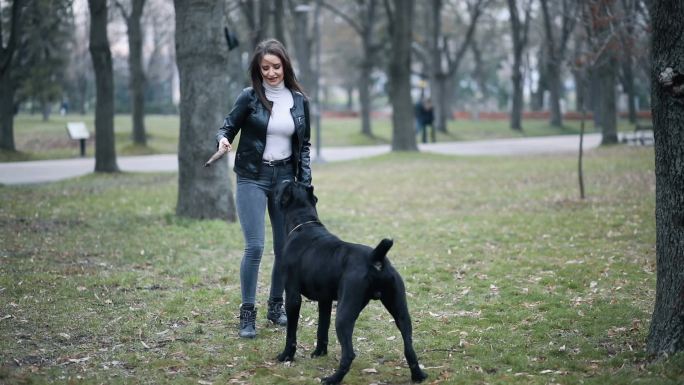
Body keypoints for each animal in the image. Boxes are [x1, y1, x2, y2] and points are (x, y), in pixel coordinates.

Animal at [274, 181, 428, 384]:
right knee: (409, 347)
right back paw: (418, 375)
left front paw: (286, 356)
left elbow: (291, 332)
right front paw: (319, 352)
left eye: (285, 186)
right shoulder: (325, 300)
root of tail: (375, 258)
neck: (303, 223)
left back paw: (333, 379)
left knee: (349, 353)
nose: (281, 181)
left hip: (344, 315)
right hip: (400, 312)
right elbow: (322, 328)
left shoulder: (292, 296)